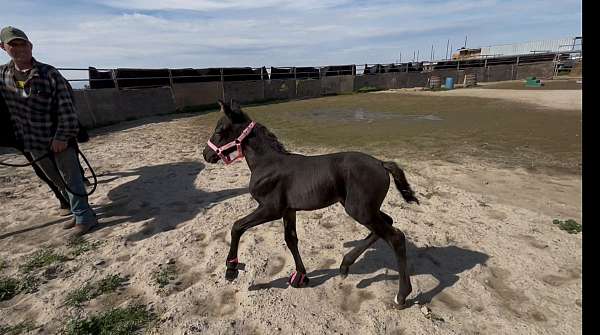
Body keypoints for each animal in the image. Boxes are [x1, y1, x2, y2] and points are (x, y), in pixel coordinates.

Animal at [204, 99, 420, 308]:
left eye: (219, 130)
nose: (206, 154)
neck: (267, 164)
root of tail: (381, 164)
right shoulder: (288, 210)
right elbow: (291, 239)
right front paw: (300, 277)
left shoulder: (271, 209)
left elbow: (237, 226)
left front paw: (231, 268)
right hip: (364, 208)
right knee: (388, 222)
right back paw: (345, 265)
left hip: (360, 210)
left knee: (396, 237)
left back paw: (401, 296)